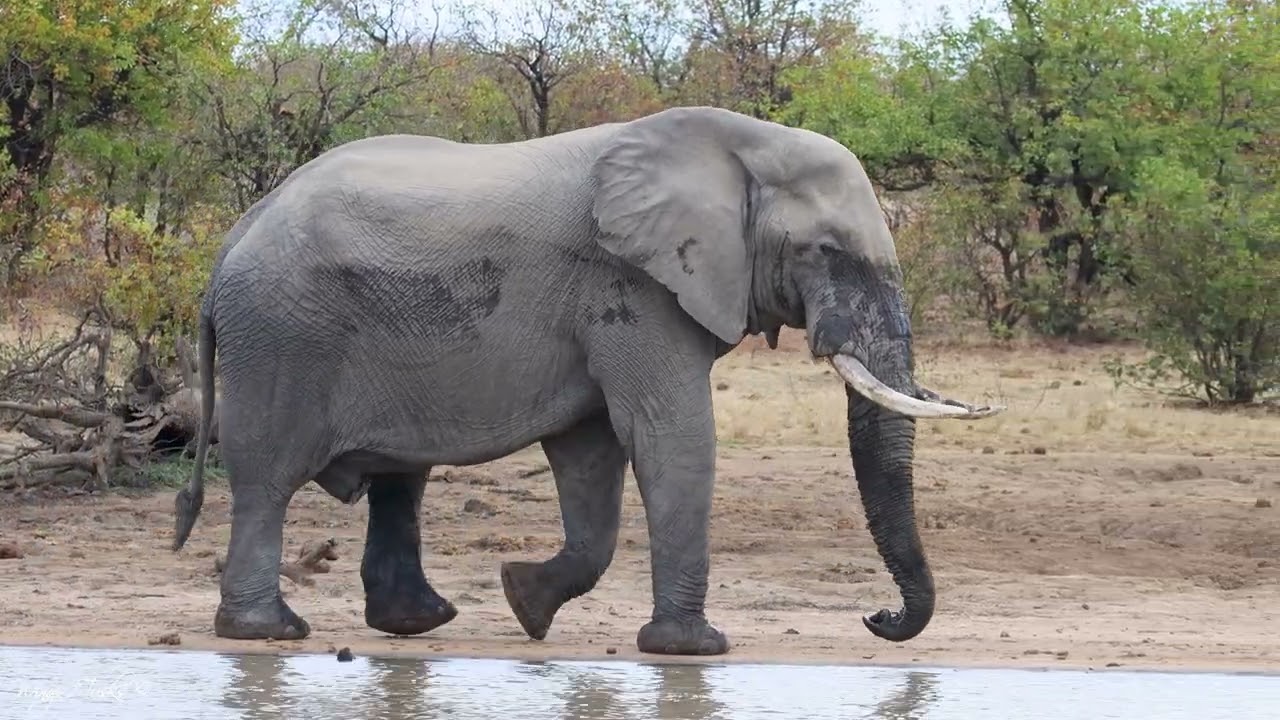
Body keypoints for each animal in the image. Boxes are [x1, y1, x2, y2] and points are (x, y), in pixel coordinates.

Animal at [170, 105, 1003, 656]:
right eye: (826, 252)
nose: (877, 620)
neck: (737, 143)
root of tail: (231, 240)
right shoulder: (633, 283)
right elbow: (670, 435)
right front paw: (694, 649)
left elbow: (592, 452)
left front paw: (525, 601)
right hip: (281, 337)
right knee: (268, 477)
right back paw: (269, 631)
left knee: (398, 478)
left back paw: (419, 623)